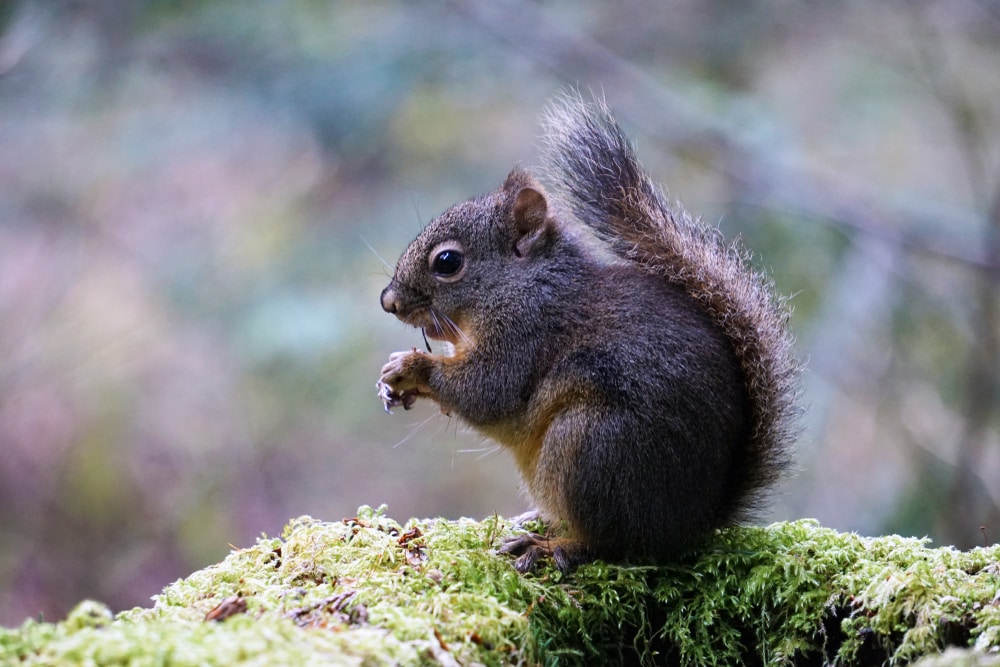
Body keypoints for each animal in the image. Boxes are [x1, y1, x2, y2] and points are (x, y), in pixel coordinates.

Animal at [376, 94, 799, 573]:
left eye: (447, 262)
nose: (388, 301)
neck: (523, 286)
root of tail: (691, 524)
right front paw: (394, 385)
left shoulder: (526, 333)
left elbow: (486, 391)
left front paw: (412, 367)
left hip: (590, 446)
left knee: (611, 542)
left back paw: (549, 546)